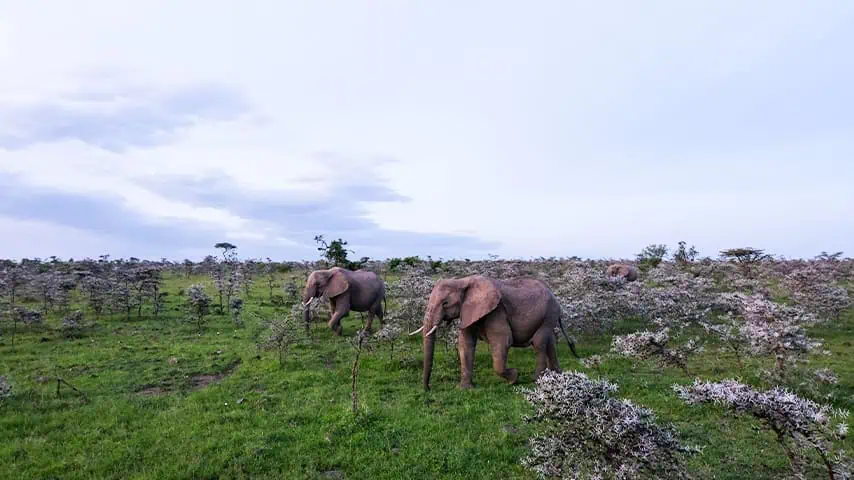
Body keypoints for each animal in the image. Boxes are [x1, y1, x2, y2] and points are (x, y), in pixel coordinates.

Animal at [410, 274, 580, 390]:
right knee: (550, 342)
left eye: (445, 303)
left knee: (539, 342)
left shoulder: (497, 311)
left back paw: (536, 378)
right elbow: (465, 345)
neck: (463, 281)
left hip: (549, 313)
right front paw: (464, 389)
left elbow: (503, 342)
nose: (428, 389)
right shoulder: (469, 311)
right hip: (549, 316)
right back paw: (556, 375)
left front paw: (514, 378)